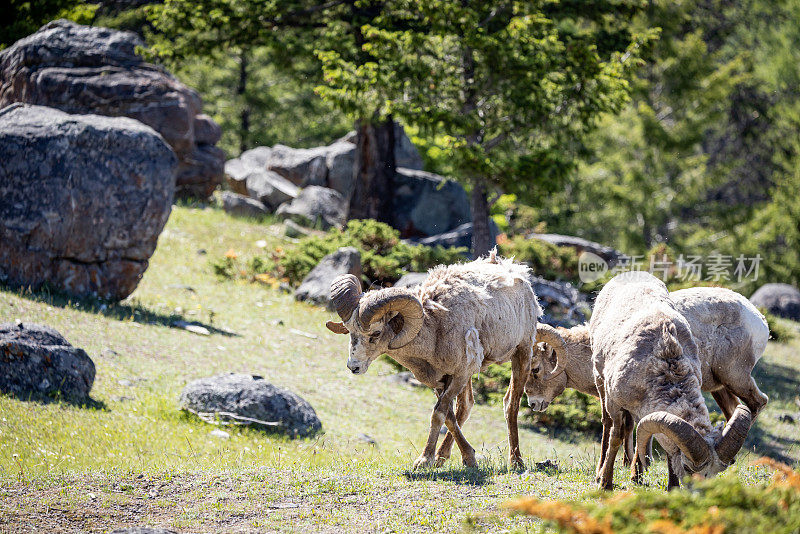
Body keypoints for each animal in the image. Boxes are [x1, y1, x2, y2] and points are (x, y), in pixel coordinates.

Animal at [324, 251, 568, 468]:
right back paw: (445, 456)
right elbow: (449, 415)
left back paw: (516, 461)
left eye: (375, 334)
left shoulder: (460, 374)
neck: (435, 329)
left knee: (510, 405)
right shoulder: (439, 380)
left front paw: (424, 461)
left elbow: (439, 413)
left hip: (522, 352)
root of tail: (515, 269)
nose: (353, 367)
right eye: (349, 330)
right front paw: (465, 458)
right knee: (466, 406)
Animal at [524, 288, 768, 468]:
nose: (533, 404)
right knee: (734, 409)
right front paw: (630, 463)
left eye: (535, 369)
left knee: (758, 402)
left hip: (735, 376)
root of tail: (760, 320)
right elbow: (630, 426)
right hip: (719, 386)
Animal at [588, 274, 752, 492]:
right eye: (688, 467)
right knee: (607, 425)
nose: (700, 494)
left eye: (717, 471)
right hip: (599, 380)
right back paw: (600, 471)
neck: (664, 359)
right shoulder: (616, 405)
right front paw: (605, 483)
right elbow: (616, 436)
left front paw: (671, 487)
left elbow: (666, 451)